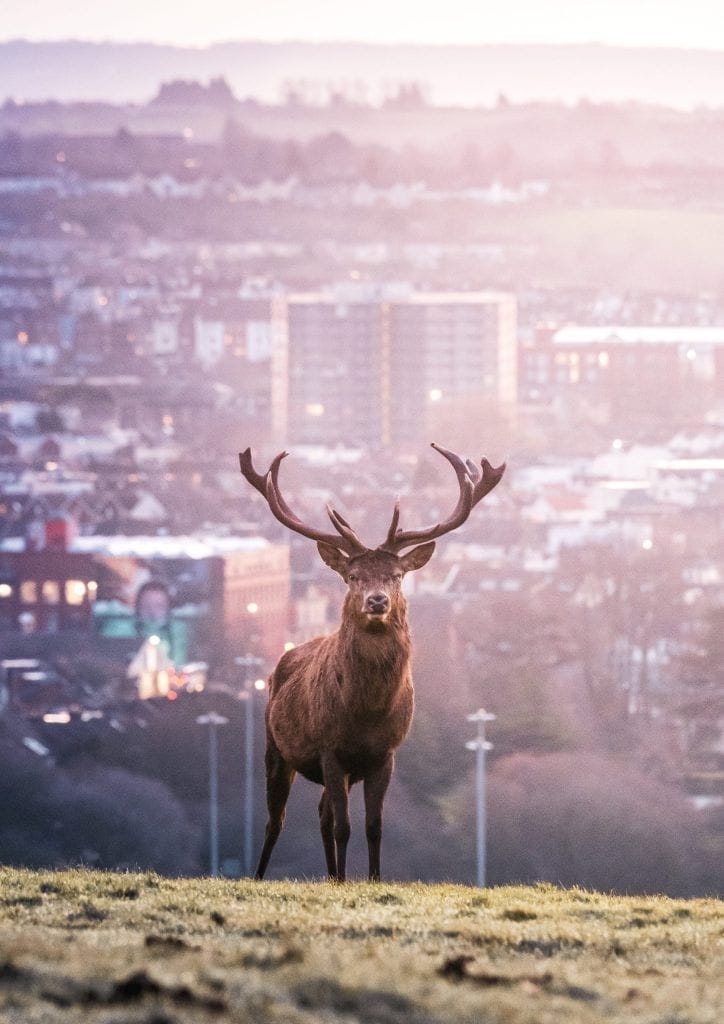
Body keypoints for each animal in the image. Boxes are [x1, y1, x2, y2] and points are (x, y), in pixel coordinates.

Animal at [238, 443, 505, 881]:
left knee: (321, 814)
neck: (365, 712)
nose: (377, 601)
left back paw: (332, 876)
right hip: (274, 745)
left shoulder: (385, 754)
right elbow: (345, 826)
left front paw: (374, 879)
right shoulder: (330, 749)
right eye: (353, 576)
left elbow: (374, 826)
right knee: (277, 820)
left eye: (397, 575)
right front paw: (350, 880)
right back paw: (263, 876)